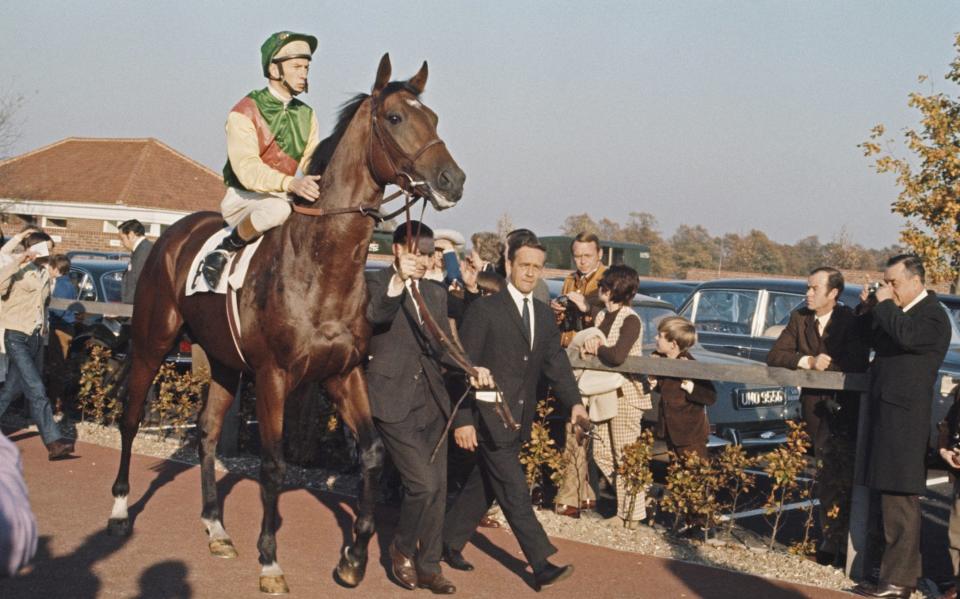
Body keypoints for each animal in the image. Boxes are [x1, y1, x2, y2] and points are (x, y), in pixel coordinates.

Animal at [105, 55, 464, 596]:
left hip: (225, 362)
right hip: (152, 341)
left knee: (207, 432)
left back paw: (216, 528)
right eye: (397, 117)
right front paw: (270, 561)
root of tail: (172, 234)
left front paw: (353, 558)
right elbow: (274, 465)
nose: (452, 180)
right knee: (129, 419)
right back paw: (120, 510)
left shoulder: (343, 373)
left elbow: (373, 453)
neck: (320, 270)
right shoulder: (274, 375)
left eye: (437, 118)